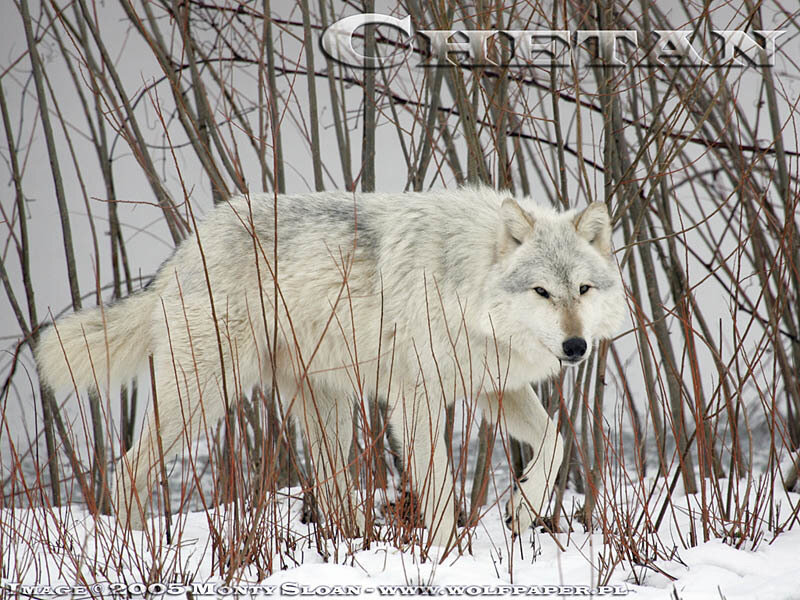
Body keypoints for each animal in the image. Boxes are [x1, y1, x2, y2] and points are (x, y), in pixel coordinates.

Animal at [35, 187, 625, 548]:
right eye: (542, 292)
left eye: (582, 289)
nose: (575, 347)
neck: (465, 278)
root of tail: (186, 246)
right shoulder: (416, 399)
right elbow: (437, 488)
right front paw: (443, 560)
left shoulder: (491, 389)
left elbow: (554, 443)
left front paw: (522, 512)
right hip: (203, 396)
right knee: (127, 468)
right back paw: (138, 551)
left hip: (327, 414)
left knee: (333, 491)